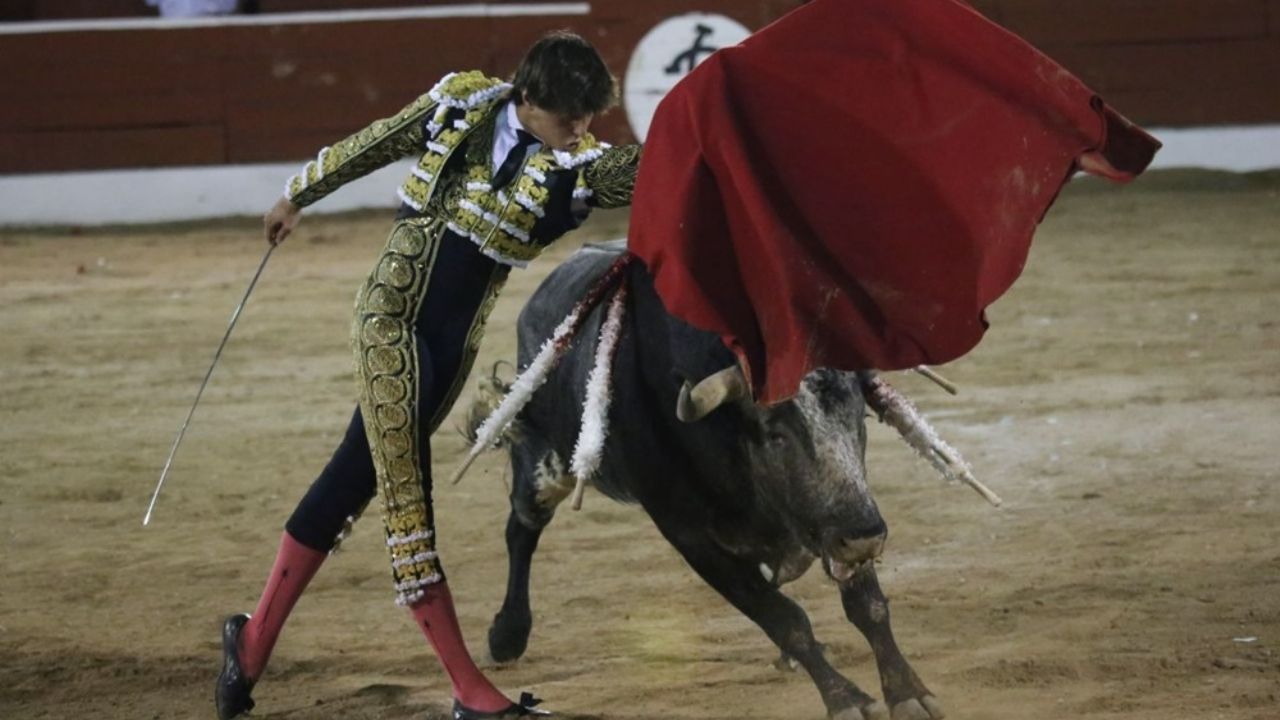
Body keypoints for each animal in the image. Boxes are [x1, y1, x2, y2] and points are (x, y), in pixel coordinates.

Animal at [476, 240, 947, 717]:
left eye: (860, 418)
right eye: (775, 433)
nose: (866, 536)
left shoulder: (837, 524)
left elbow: (868, 607)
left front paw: (908, 692)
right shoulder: (691, 537)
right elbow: (784, 618)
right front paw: (847, 699)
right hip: (541, 465)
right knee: (522, 529)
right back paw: (506, 635)